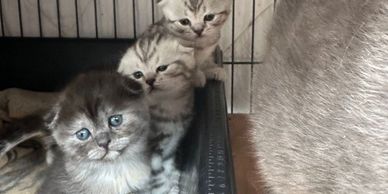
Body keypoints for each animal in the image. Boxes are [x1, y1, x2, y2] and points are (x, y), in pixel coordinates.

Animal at [117, 22, 197, 192]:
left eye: (162, 68)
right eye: (138, 75)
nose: (150, 81)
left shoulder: (171, 147)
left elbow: (169, 169)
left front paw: (173, 186)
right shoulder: (150, 152)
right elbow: (158, 180)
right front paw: (165, 188)